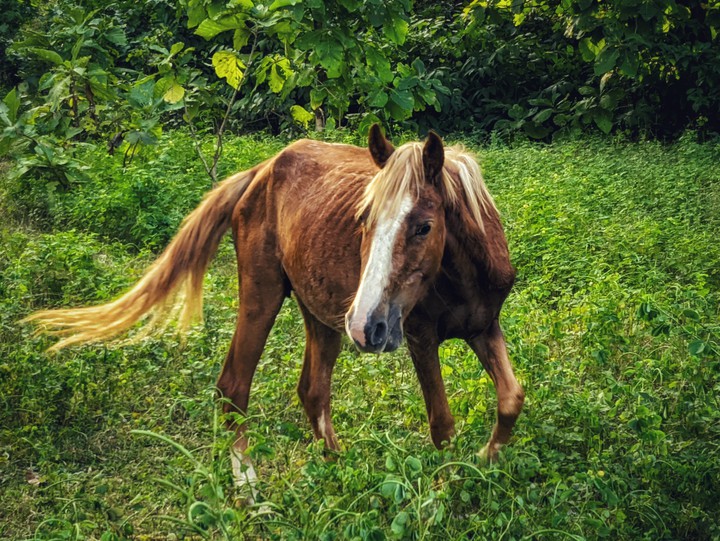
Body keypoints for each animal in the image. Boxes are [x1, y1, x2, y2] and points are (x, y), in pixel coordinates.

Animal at [24, 125, 524, 496]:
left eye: (423, 226)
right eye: (363, 219)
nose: (367, 326)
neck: (462, 275)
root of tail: (261, 170)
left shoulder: (485, 326)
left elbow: (511, 399)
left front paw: (486, 460)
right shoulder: (420, 338)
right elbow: (442, 425)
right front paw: (451, 488)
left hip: (320, 313)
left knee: (312, 390)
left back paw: (336, 467)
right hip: (263, 296)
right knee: (233, 386)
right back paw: (247, 488)